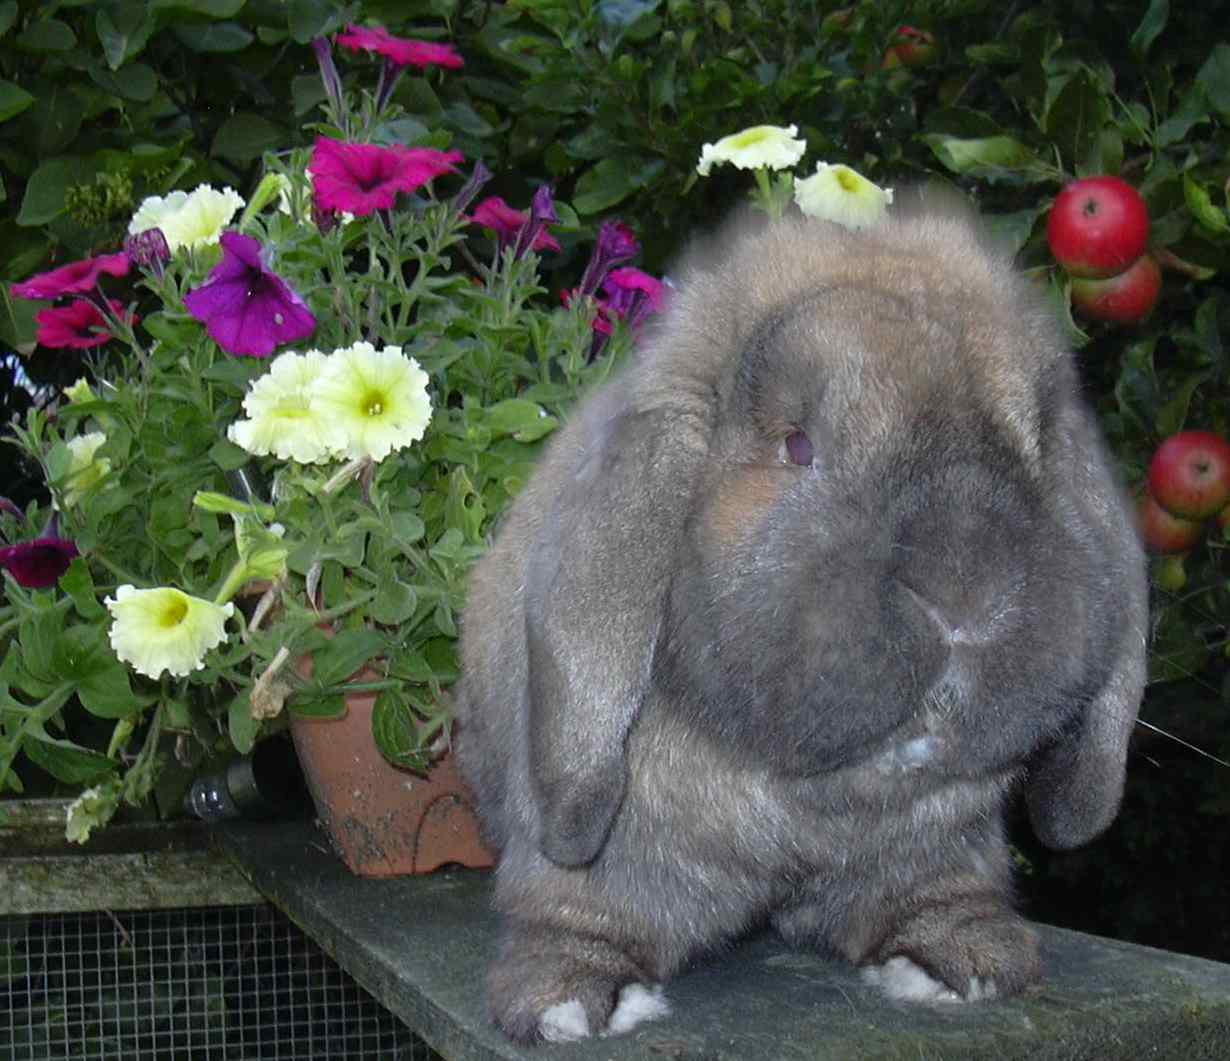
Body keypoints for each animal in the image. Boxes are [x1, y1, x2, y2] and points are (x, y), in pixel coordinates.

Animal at [454, 196, 1148, 1045]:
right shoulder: (586, 844)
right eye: (798, 445)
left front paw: (970, 962)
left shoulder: (946, 847)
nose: (968, 583)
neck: (815, 811)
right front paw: (570, 1001)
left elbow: (939, 890)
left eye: (1040, 446)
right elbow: (574, 905)